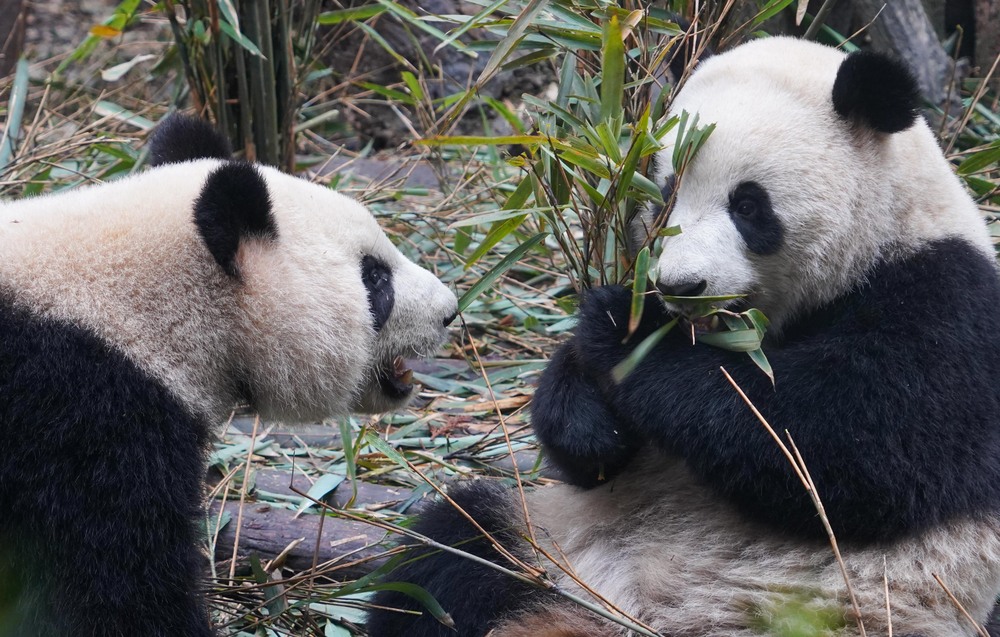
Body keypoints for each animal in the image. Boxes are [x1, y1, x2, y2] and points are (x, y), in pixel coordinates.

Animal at [364, 37, 1000, 632]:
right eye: (665, 194)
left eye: (749, 206)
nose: (681, 285)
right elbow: (589, 462)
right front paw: (590, 414)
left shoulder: (947, 303)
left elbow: (843, 446)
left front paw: (625, 336)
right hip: (547, 544)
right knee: (447, 556)